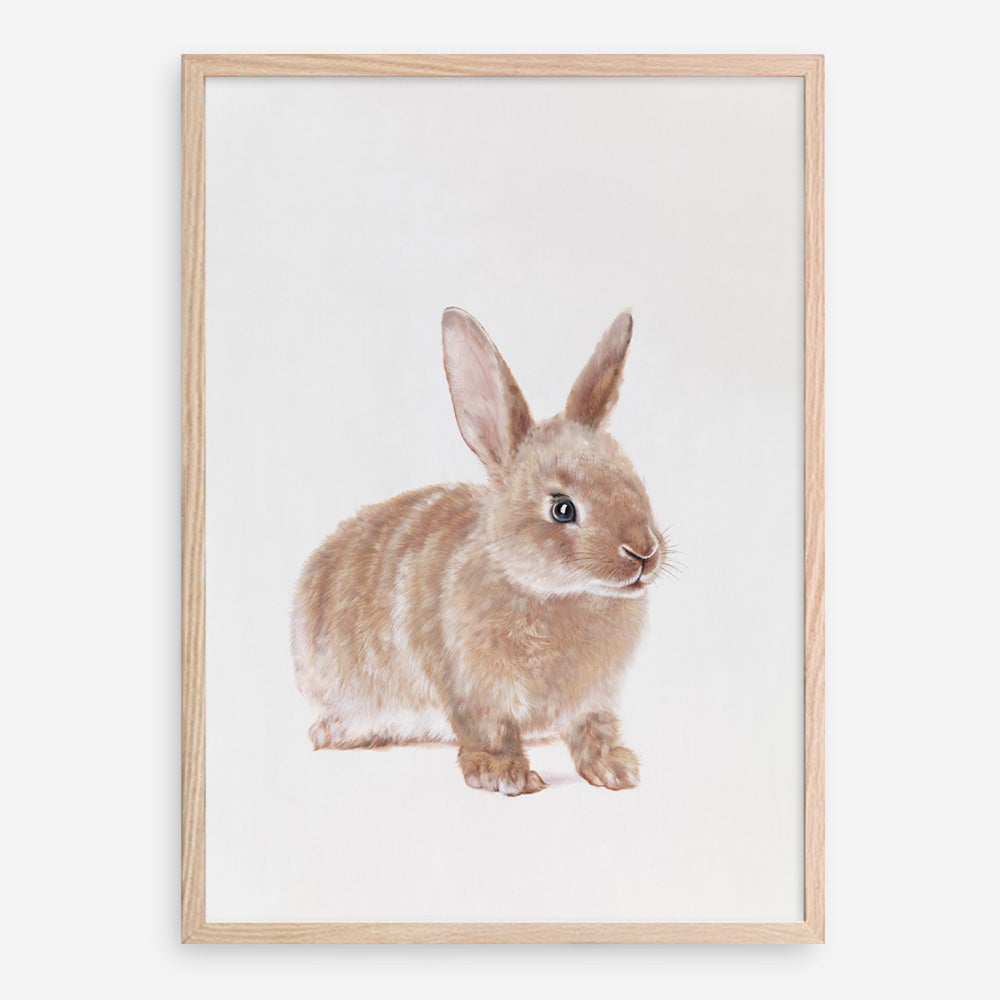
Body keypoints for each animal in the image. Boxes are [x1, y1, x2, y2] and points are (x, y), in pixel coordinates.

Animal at [291, 307, 667, 795]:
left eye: (634, 482)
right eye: (562, 508)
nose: (644, 553)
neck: (551, 592)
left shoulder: (593, 700)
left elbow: (593, 730)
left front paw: (616, 770)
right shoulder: (476, 688)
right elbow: (491, 731)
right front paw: (505, 775)